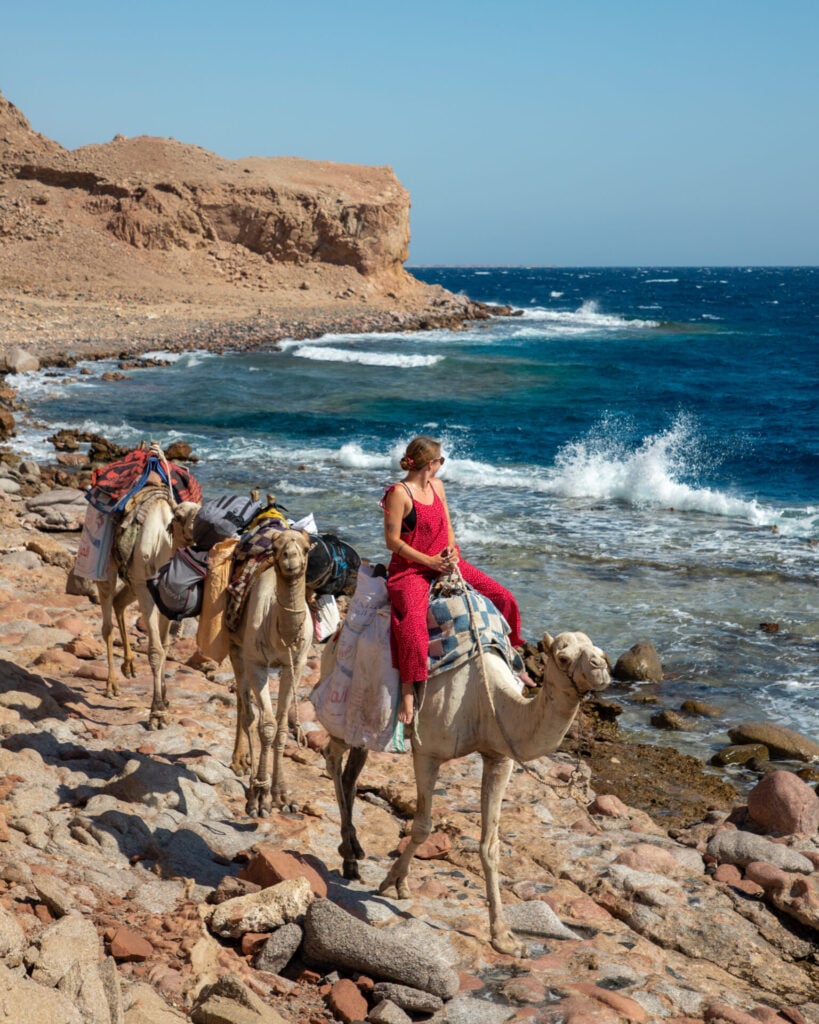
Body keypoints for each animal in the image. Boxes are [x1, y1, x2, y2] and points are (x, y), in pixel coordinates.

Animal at [96, 488, 200, 730]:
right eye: (179, 516)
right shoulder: (145, 588)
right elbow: (155, 650)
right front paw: (157, 713)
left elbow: (165, 645)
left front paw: (165, 699)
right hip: (108, 567)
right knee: (107, 622)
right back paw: (111, 685)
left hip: (133, 581)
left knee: (119, 602)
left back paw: (129, 665)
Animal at [227, 528, 313, 816]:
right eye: (276, 549)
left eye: (307, 547)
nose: (290, 559)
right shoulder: (256, 662)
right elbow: (267, 725)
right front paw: (260, 798)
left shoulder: (295, 664)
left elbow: (282, 727)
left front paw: (281, 796)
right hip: (236, 648)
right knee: (246, 708)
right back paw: (241, 766)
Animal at [324, 630, 611, 958]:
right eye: (562, 658)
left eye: (600, 650)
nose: (601, 667)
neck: (487, 702)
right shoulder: (428, 751)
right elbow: (422, 826)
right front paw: (393, 880)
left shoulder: (499, 757)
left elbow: (490, 846)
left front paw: (505, 938)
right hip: (346, 704)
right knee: (331, 756)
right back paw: (348, 857)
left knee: (351, 771)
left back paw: (353, 854)